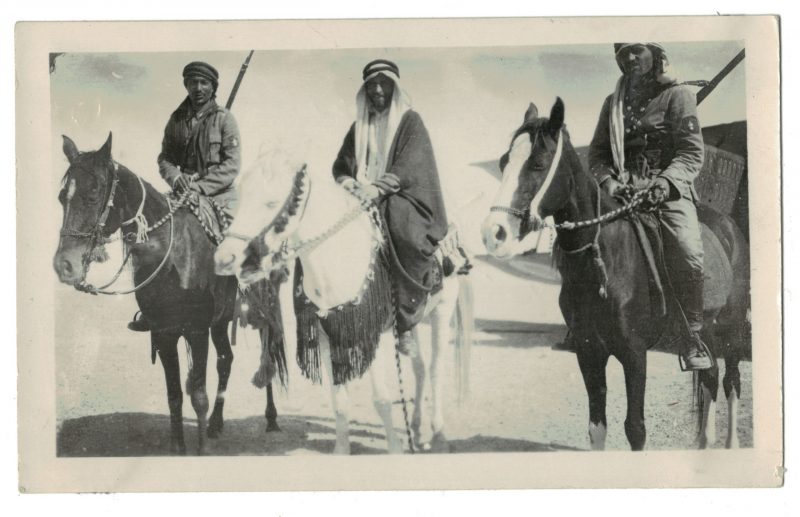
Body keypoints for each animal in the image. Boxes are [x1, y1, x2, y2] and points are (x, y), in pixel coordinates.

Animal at [54, 135, 284, 454]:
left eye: (93, 193)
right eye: (62, 197)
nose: (64, 265)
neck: (174, 254)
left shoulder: (196, 331)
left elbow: (198, 395)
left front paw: (201, 451)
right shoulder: (164, 333)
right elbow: (174, 394)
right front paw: (178, 447)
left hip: (263, 311)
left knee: (267, 355)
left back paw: (271, 417)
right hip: (220, 321)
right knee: (226, 359)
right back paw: (216, 424)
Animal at [216, 151, 472, 454]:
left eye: (271, 203)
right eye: (241, 196)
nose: (224, 258)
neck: (340, 258)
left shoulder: (375, 335)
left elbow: (382, 400)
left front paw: (395, 450)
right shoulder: (327, 334)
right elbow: (339, 400)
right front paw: (342, 451)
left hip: (442, 310)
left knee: (434, 370)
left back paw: (438, 436)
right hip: (414, 319)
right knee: (420, 369)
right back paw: (418, 431)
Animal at [482, 100, 752, 448]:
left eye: (538, 164)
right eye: (504, 162)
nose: (494, 233)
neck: (604, 262)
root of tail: (730, 228)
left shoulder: (634, 354)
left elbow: (635, 428)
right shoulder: (589, 353)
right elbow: (597, 426)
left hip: (732, 328)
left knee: (732, 381)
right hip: (705, 329)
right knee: (711, 375)